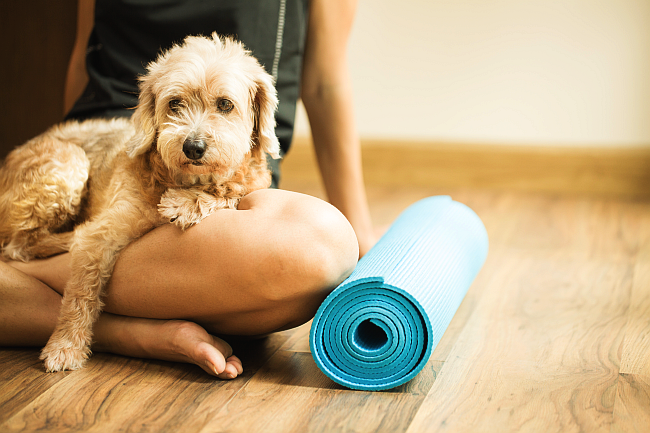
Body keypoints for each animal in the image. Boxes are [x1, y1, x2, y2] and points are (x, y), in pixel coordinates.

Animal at [0, 33, 280, 372]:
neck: (182, 179)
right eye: (174, 103)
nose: (193, 147)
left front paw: (185, 203)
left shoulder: (249, 185)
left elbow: (228, 195)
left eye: (225, 104)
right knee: (20, 244)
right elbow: (81, 293)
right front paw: (65, 345)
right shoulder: (99, 236)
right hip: (67, 166)